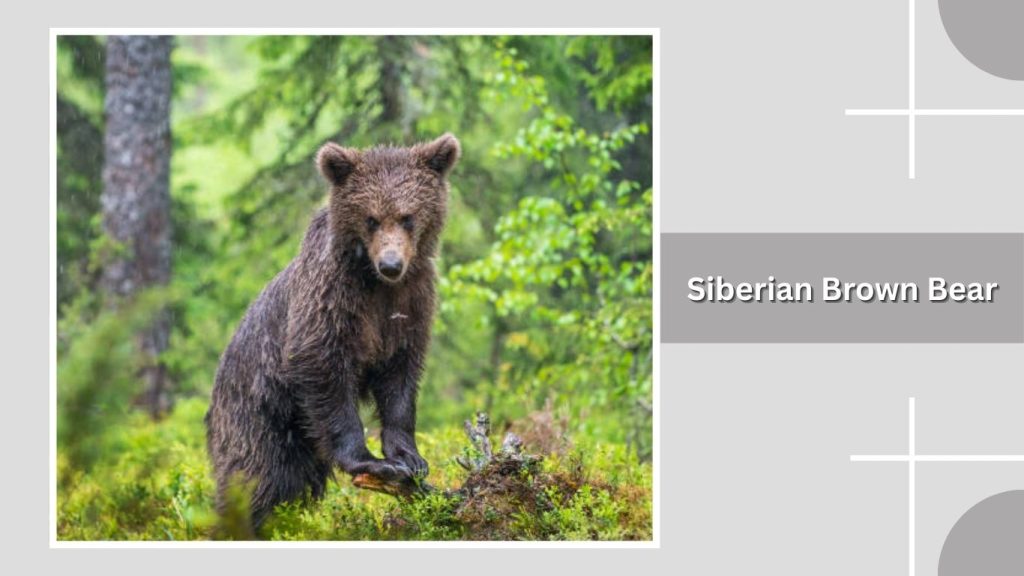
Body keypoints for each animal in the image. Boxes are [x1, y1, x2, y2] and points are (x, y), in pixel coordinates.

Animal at [205, 133, 460, 529]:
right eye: (371, 219)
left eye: (407, 217)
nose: (390, 264)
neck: (375, 285)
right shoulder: (330, 300)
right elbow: (323, 368)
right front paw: (372, 461)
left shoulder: (411, 304)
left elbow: (401, 378)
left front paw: (410, 457)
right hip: (257, 415)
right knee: (255, 478)